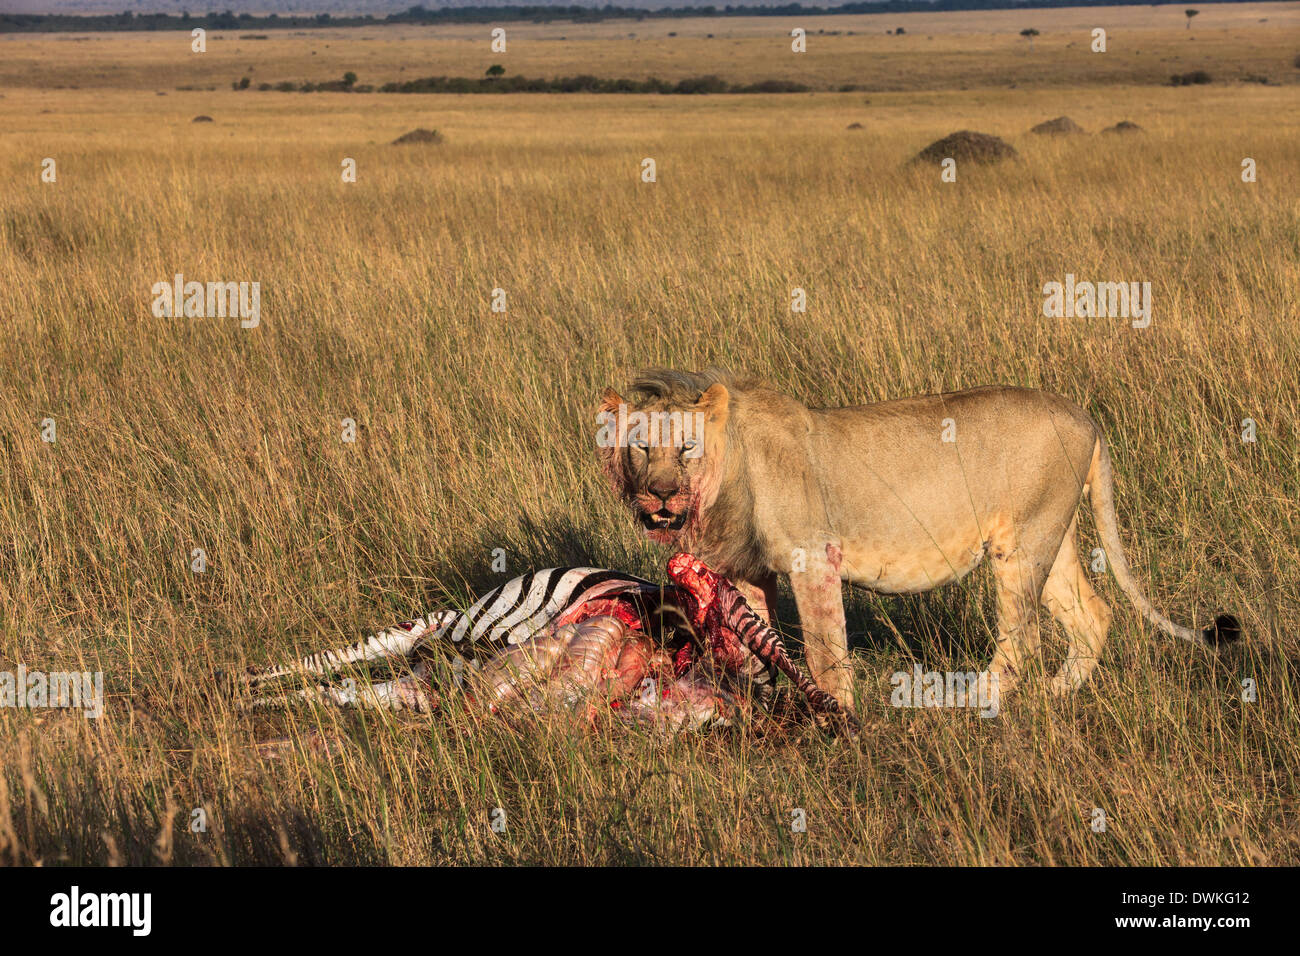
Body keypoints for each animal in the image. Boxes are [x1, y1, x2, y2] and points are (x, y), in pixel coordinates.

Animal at [598, 369, 1237, 712]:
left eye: (686, 448)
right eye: (640, 448)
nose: (659, 496)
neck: (730, 474)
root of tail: (1086, 417)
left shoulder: (813, 558)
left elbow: (826, 649)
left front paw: (836, 716)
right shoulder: (753, 571)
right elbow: (759, 645)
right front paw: (768, 704)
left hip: (1019, 546)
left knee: (1023, 638)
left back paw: (973, 704)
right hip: (1050, 540)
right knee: (1094, 614)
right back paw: (1057, 696)